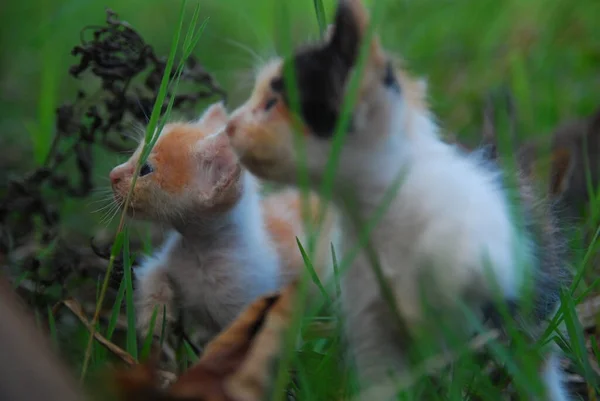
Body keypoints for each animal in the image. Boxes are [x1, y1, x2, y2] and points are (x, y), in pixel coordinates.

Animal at [108, 101, 332, 346]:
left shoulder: (248, 310)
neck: (201, 253)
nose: (112, 174)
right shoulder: (164, 262)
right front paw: (153, 322)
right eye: (134, 154)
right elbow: (153, 274)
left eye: (145, 170)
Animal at [225, 1, 572, 398]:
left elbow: (458, 268)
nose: (229, 125)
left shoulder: (495, 253)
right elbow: (383, 378)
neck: (380, 210)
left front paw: (423, 309)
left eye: (271, 103)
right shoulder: (369, 320)